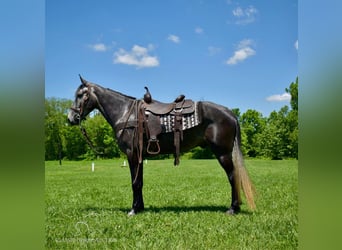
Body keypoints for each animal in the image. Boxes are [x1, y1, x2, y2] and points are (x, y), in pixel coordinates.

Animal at [67, 74, 254, 215]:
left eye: (80, 95)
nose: (71, 118)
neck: (125, 113)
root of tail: (230, 113)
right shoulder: (139, 156)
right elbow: (140, 182)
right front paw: (140, 208)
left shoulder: (132, 155)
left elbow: (134, 182)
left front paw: (133, 210)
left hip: (222, 153)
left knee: (233, 176)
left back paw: (233, 208)